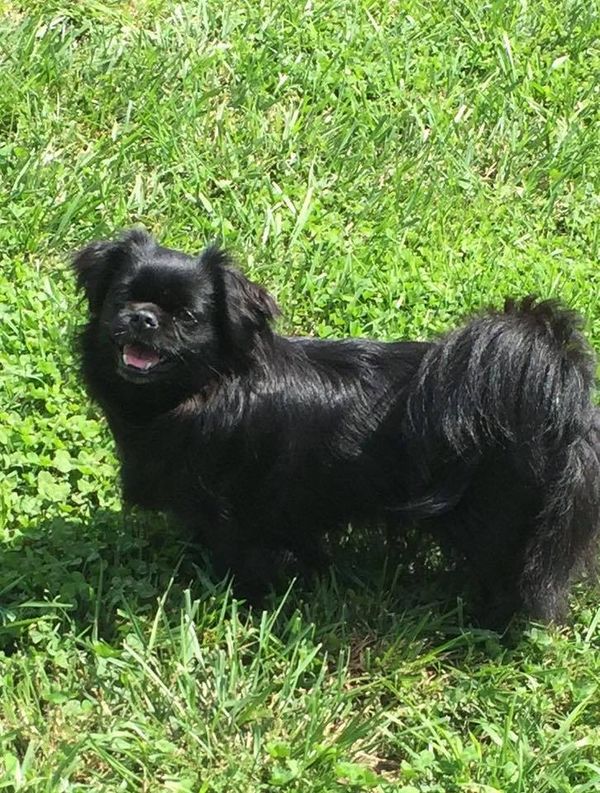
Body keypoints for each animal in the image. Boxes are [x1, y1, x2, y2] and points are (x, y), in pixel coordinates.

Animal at [72, 229, 600, 627]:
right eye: (123, 298)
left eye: (186, 317)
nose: (144, 317)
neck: (205, 388)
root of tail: (565, 406)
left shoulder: (242, 518)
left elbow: (245, 558)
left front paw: (242, 599)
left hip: (501, 523)